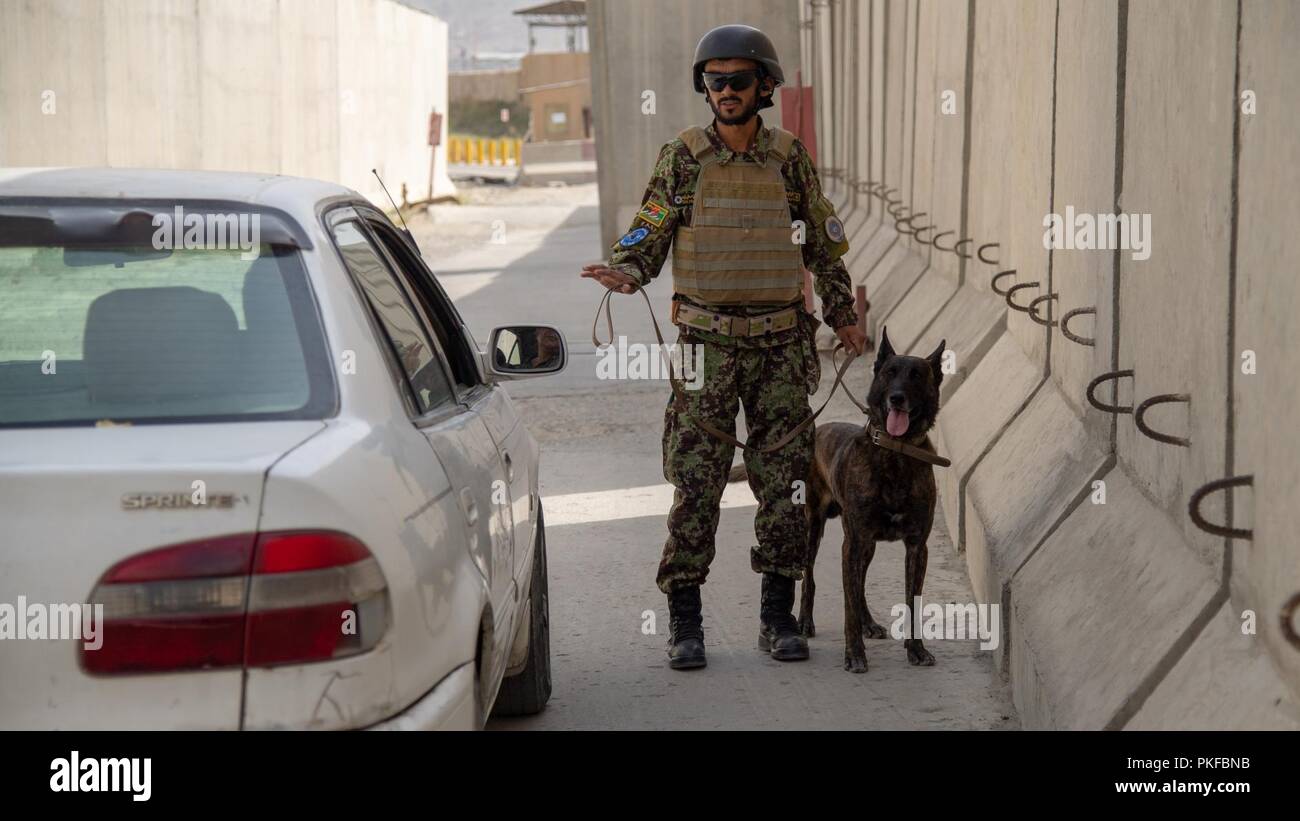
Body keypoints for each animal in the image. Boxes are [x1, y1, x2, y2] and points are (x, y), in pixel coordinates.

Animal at [800, 327, 946, 675]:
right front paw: (854, 654)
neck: (896, 452)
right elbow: (847, 605)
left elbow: (911, 601)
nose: (897, 398)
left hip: (865, 546)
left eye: (917, 375)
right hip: (816, 528)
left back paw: (869, 623)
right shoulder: (852, 543)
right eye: (889, 373)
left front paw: (916, 650)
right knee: (810, 577)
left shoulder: (916, 547)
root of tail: (820, 428)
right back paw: (804, 622)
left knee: (860, 585)